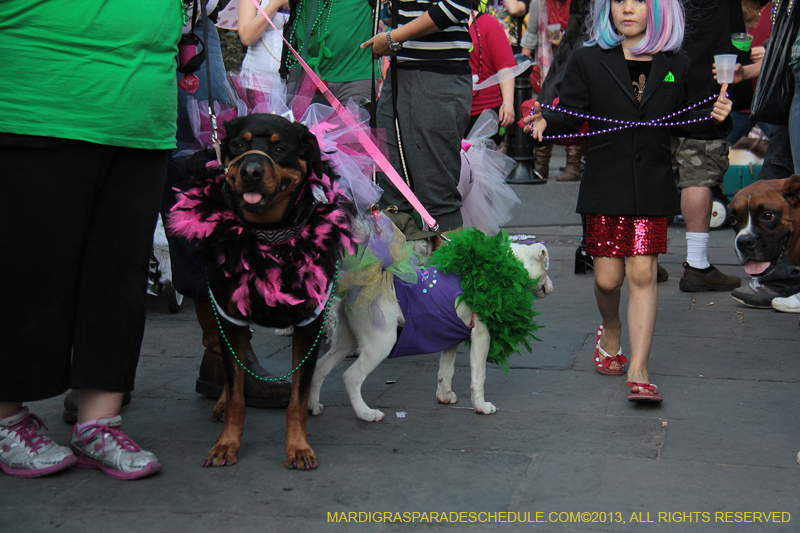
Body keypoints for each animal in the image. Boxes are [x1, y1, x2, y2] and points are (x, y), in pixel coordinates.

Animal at [171, 112, 354, 466]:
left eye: (280, 148)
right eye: (238, 145)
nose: (251, 171)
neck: (268, 234)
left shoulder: (308, 324)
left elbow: (298, 398)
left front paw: (299, 447)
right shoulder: (230, 317)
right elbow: (236, 393)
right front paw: (226, 443)